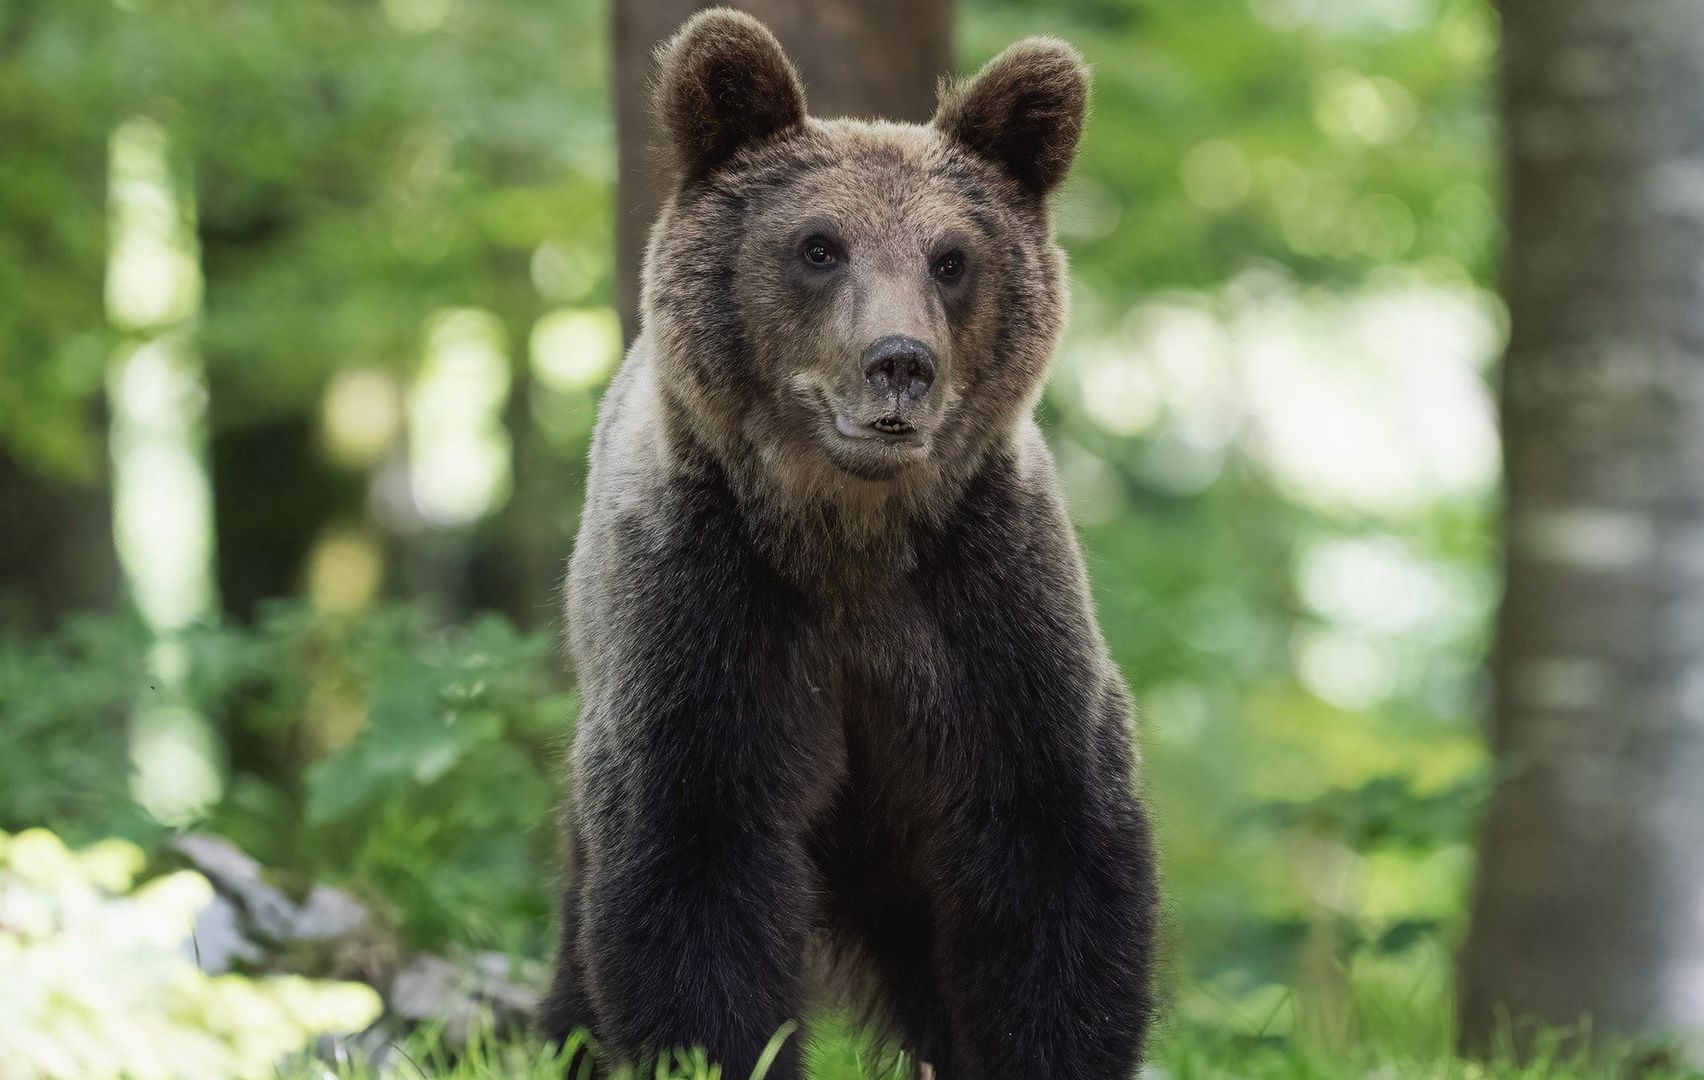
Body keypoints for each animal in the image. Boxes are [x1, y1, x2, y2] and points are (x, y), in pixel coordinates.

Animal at [545, 10, 1158, 1076]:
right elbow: (695, 870)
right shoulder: (709, 621)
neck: (851, 539)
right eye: (819, 245)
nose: (899, 363)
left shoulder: (989, 615)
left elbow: (1053, 855)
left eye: (951, 257)